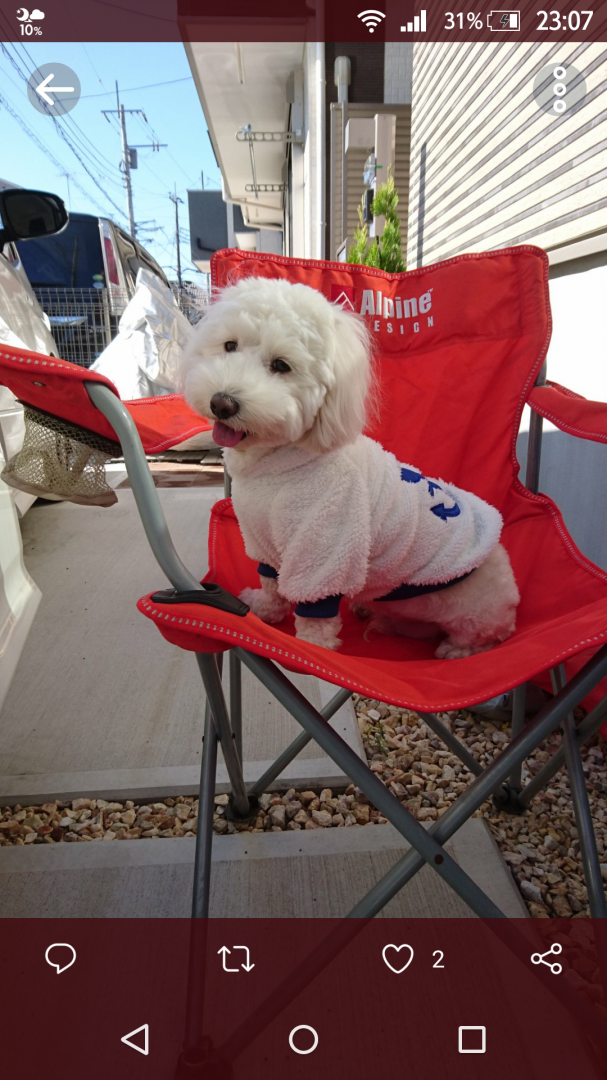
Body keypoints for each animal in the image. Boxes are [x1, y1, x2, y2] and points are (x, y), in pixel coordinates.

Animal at [181, 276, 518, 656]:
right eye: (229, 345)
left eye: (281, 365)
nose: (222, 403)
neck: (274, 462)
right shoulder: (262, 538)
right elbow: (270, 581)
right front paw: (265, 609)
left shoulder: (325, 543)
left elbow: (315, 609)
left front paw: (311, 649)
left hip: (473, 608)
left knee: (487, 635)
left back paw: (458, 649)